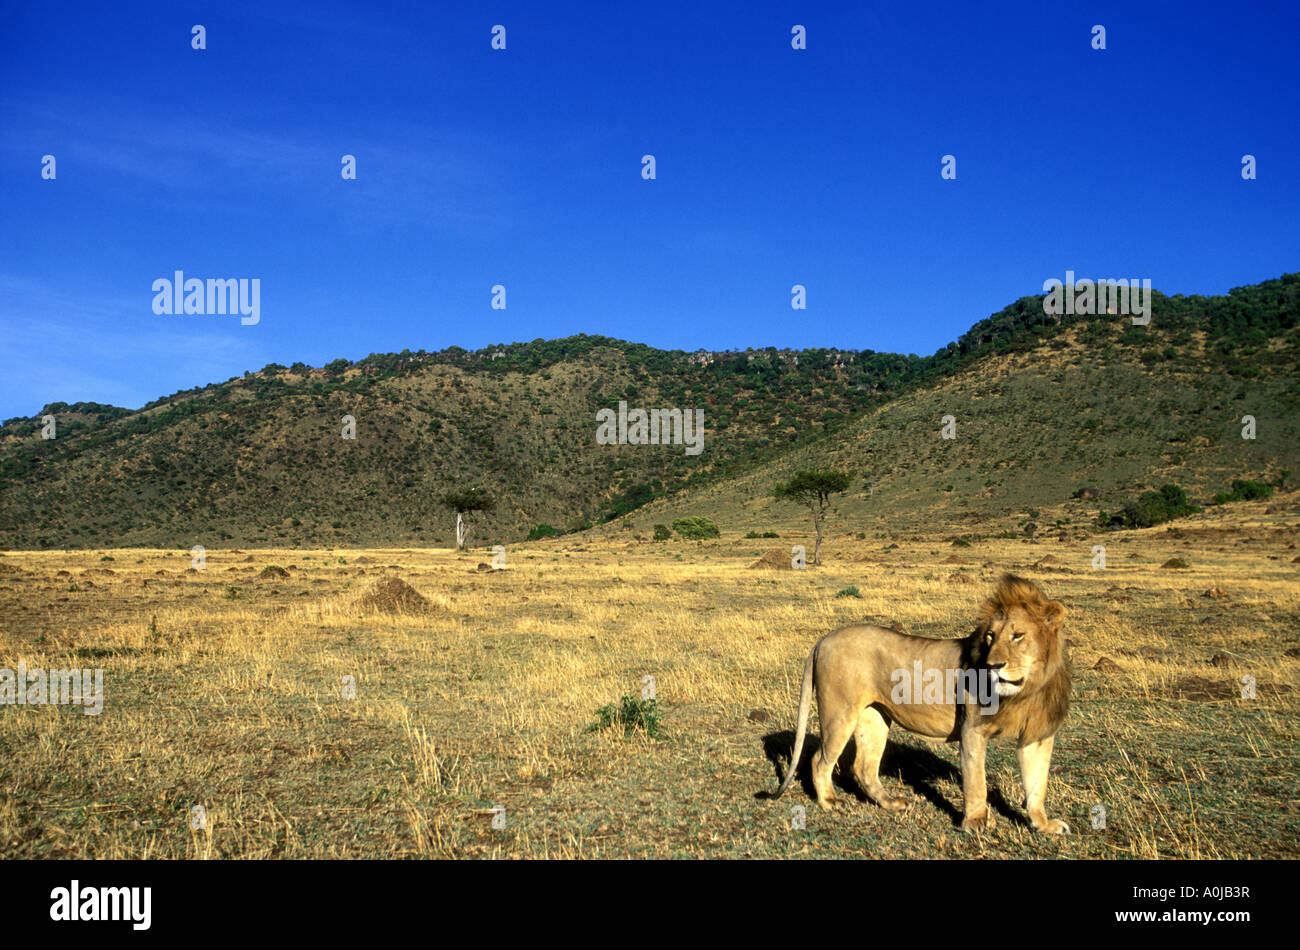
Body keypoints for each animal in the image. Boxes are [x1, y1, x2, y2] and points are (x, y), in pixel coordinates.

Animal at [773, 573, 1071, 833]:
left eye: (1018, 635)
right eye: (990, 636)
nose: (993, 665)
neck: (1026, 690)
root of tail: (823, 640)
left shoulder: (1038, 734)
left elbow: (1037, 784)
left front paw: (1044, 825)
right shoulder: (972, 728)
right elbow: (976, 780)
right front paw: (976, 822)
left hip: (874, 717)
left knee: (864, 767)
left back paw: (892, 803)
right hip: (839, 712)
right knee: (819, 759)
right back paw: (830, 802)